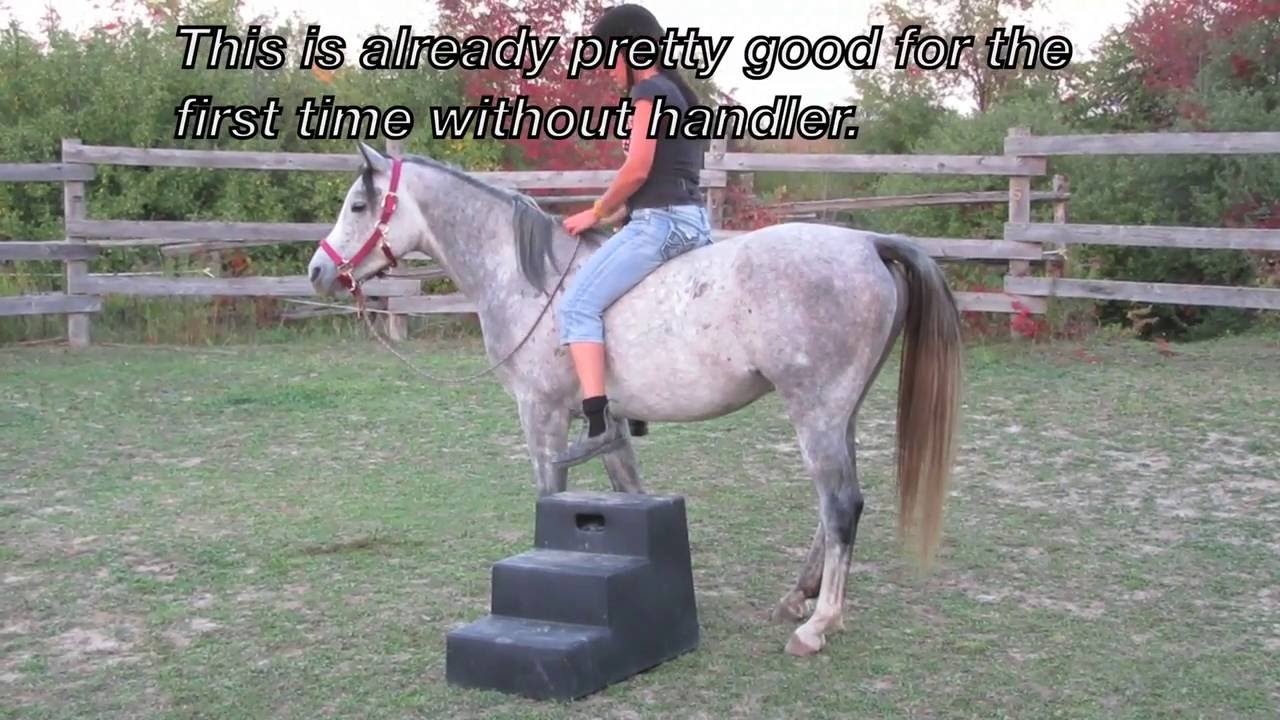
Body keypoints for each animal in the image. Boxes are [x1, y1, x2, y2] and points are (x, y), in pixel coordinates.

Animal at [308, 143, 963, 657]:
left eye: (358, 206)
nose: (318, 270)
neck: (530, 280)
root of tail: (868, 242)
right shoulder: (611, 425)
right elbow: (629, 490)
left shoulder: (541, 415)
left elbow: (550, 493)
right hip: (838, 413)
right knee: (836, 508)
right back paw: (799, 597)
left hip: (816, 412)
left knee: (840, 504)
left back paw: (819, 623)